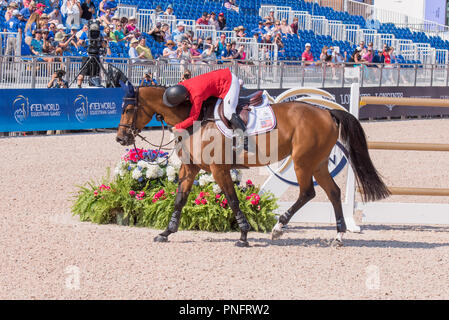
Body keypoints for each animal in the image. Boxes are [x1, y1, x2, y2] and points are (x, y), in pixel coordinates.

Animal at [116, 83, 388, 248]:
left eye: (128, 108)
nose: (121, 138)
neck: (196, 119)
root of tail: (327, 112)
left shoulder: (219, 169)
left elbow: (232, 200)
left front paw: (244, 235)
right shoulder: (190, 168)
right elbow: (179, 199)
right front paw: (166, 232)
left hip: (303, 162)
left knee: (307, 192)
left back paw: (279, 227)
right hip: (318, 163)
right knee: (332, 192)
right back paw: (339, 235)